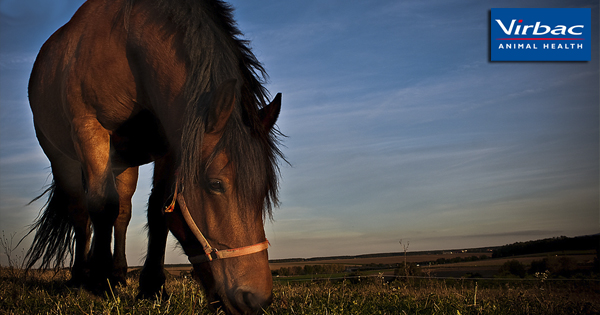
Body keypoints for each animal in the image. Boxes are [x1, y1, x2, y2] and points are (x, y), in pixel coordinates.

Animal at [25, 0, 284, 314]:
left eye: (263, 190)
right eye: (215, 184)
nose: (255, 299)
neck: (126, 45)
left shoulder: (171, 144)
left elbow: (158, 209)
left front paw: (151, 287)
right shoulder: (89, 130)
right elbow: (100, 206)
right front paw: (99, 283)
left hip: (124, 164)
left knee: (122, 213)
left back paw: (118, 274)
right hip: (65, 161)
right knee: (81, 213)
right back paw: (80, 276)